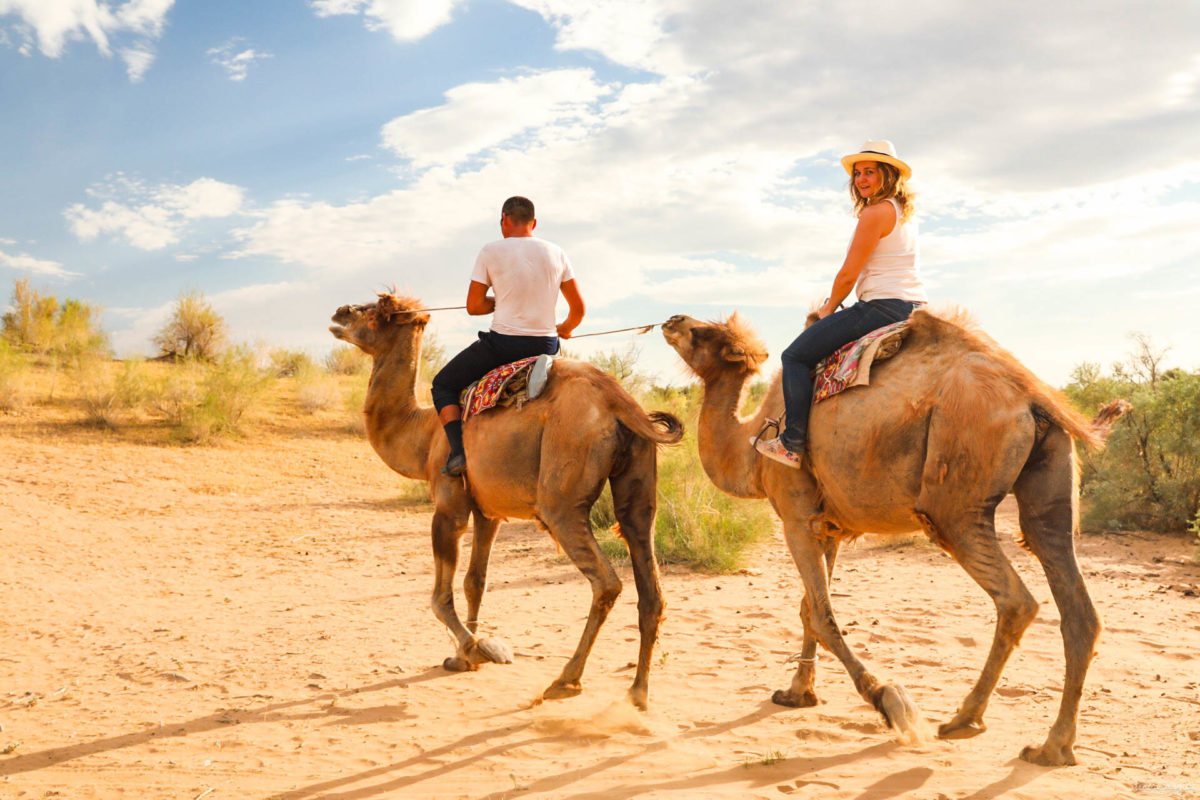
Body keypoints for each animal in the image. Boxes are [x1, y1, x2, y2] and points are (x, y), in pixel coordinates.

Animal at [328, 292, 686, 705]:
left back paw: (566, 680)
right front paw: (460, 658)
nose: (340, 313)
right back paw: (638, 693)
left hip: (561, 498)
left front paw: (478, 649)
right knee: (647, 569)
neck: (423, 434)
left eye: (379, 312)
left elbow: (439, 597)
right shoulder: (489, 511)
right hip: (639, 483)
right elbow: (475, 582)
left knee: (606, 582)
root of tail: (619, 400)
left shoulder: (449, 503)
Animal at [662, 309, 1128, 767]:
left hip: (953, 502)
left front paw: (888, 700)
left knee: (1016, 600)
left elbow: (823, 616)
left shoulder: (794, 515)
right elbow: (808, 610)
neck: (750, 448)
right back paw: (1052, 747)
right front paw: (797, 694)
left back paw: (964, 720)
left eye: (706, 335)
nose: (672, 320)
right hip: (1048, 482)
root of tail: (1032, 396)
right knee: (1075, 601)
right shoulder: (827, 526)